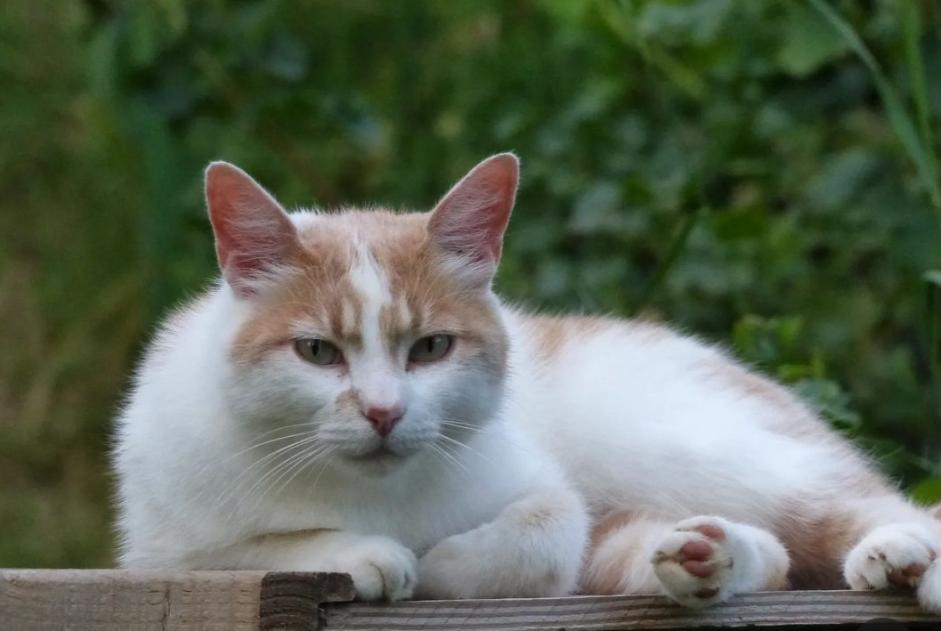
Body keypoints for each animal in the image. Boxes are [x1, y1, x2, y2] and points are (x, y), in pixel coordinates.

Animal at [114, 154, 940, 612]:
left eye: (431, 348)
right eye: (317, 351)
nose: (383, 411)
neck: (373, 491)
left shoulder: (543, 490)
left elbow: (539, 537)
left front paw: (433, 562)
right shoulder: (161, 554)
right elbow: (263, 547)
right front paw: (371, 552)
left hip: (695, 448)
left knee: (852, 508)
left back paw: (893, 554)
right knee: (758, 554)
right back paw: (702, 555)